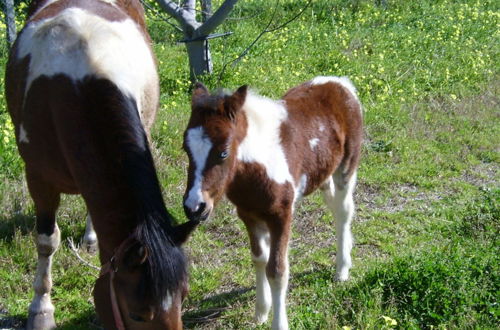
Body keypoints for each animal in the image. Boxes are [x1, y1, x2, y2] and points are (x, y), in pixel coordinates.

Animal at [5, 0, 198, 330]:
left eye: (183, 299)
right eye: (137, 314)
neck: (78, 84)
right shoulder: (38, 178)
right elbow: (46, 241)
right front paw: (41, 309)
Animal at [182, 78, 362, 330]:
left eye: (223, 153)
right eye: (186, 149)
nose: (194, 207)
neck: (254, 170)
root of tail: (340, 82)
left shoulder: (281, 214)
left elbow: (277, 271)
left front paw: (279, 323)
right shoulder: (248, 214)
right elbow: (259, 259)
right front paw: (261, 312)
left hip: (346, 166)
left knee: (344, 211)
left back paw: (342, 270)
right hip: (322, 174)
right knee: (335, 206)